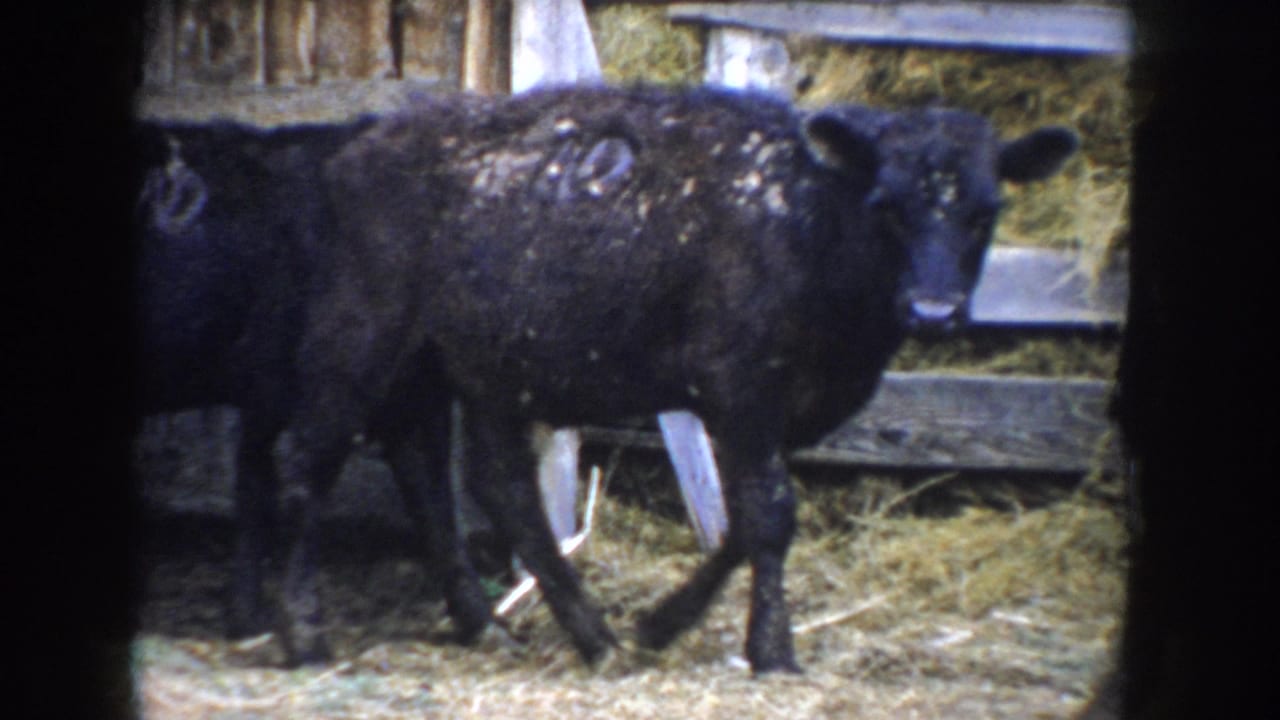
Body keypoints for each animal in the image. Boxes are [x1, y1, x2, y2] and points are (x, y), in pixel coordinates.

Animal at [272, 84, 1078, 672]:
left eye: (986, 212)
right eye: (887, 206)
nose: (934, 310)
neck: (808, 216)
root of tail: (364, 139)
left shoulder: (785, 408)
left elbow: (745, 520)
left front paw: (663, 623)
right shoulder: (742, 388)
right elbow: (768, 514)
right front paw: (772, 650)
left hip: (472, 365)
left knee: (469, 479)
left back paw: (543, 629)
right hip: (361, 336)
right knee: (311, 457)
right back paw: (303, 633)